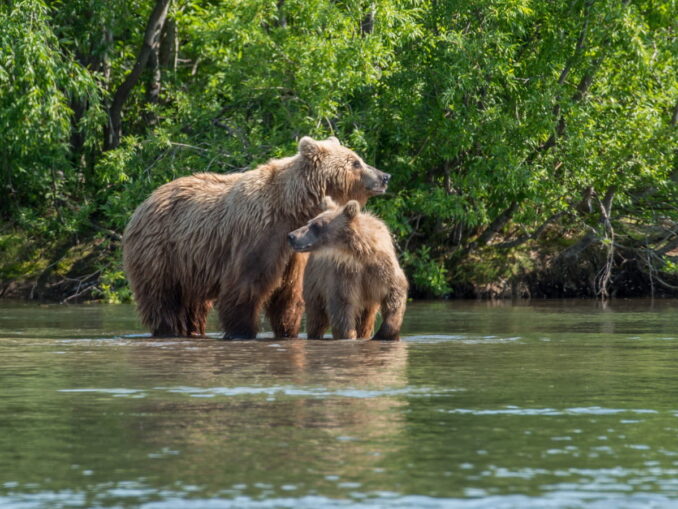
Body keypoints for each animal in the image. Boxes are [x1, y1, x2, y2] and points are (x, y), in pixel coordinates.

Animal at [122, 136, 391, 339]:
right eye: (356, 162)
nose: (385, 176)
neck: (292, 209)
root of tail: (144, 203)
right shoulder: (258, 235)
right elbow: (245, 286)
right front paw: (241, 331)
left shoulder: (293, 254)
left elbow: (289, 295)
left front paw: (287, 330)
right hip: (162, 253)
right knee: (163, 299)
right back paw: (169, 329)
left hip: (192, 264)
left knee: (194, 306)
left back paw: (194, 330)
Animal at [288, 197, 408, 340]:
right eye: (309, 222)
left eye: (316, 225)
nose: (291, 236)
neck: (359, 254)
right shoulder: (344, 273)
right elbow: (342, 305)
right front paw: (348, 335)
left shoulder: (380, 269)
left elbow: (395, 293)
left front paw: (384, 334)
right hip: (314, 283)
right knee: (316, 316)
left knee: (365, 319)